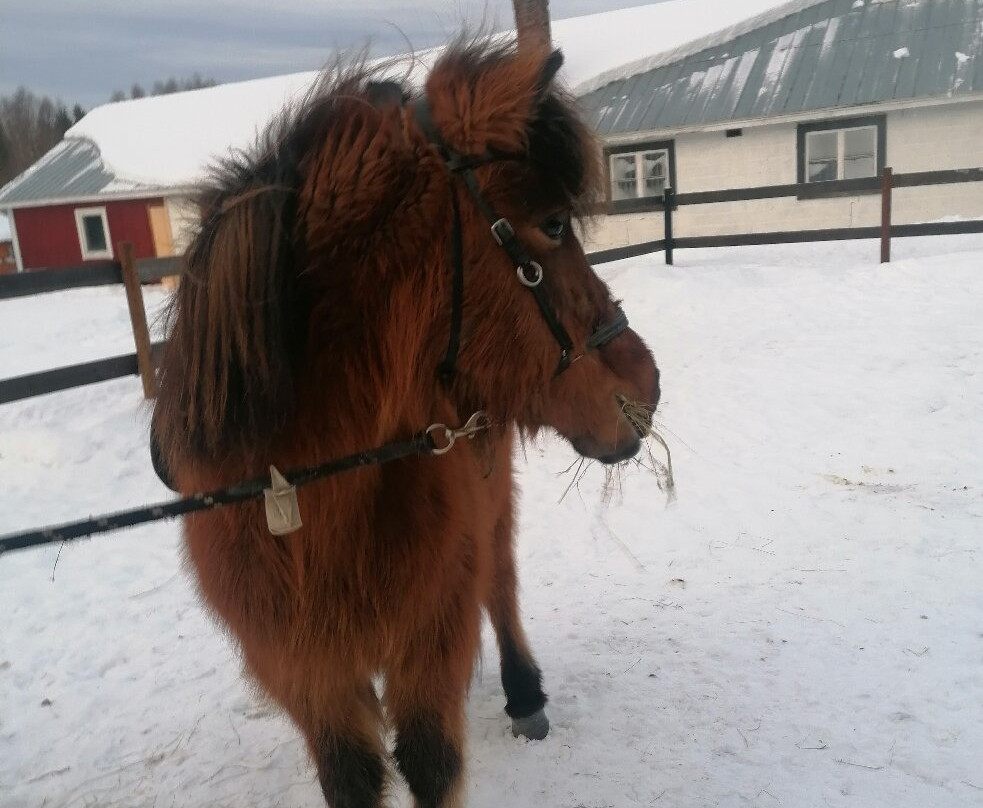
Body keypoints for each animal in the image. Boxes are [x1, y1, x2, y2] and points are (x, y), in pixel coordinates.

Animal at [154, 38, 660, 808]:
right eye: (551, 224)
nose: (645, 386)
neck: (299, 487)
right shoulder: (306, 672)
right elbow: (353, 775)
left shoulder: (431, 636)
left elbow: (430, 759)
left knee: (500, 578)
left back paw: (524, 693)